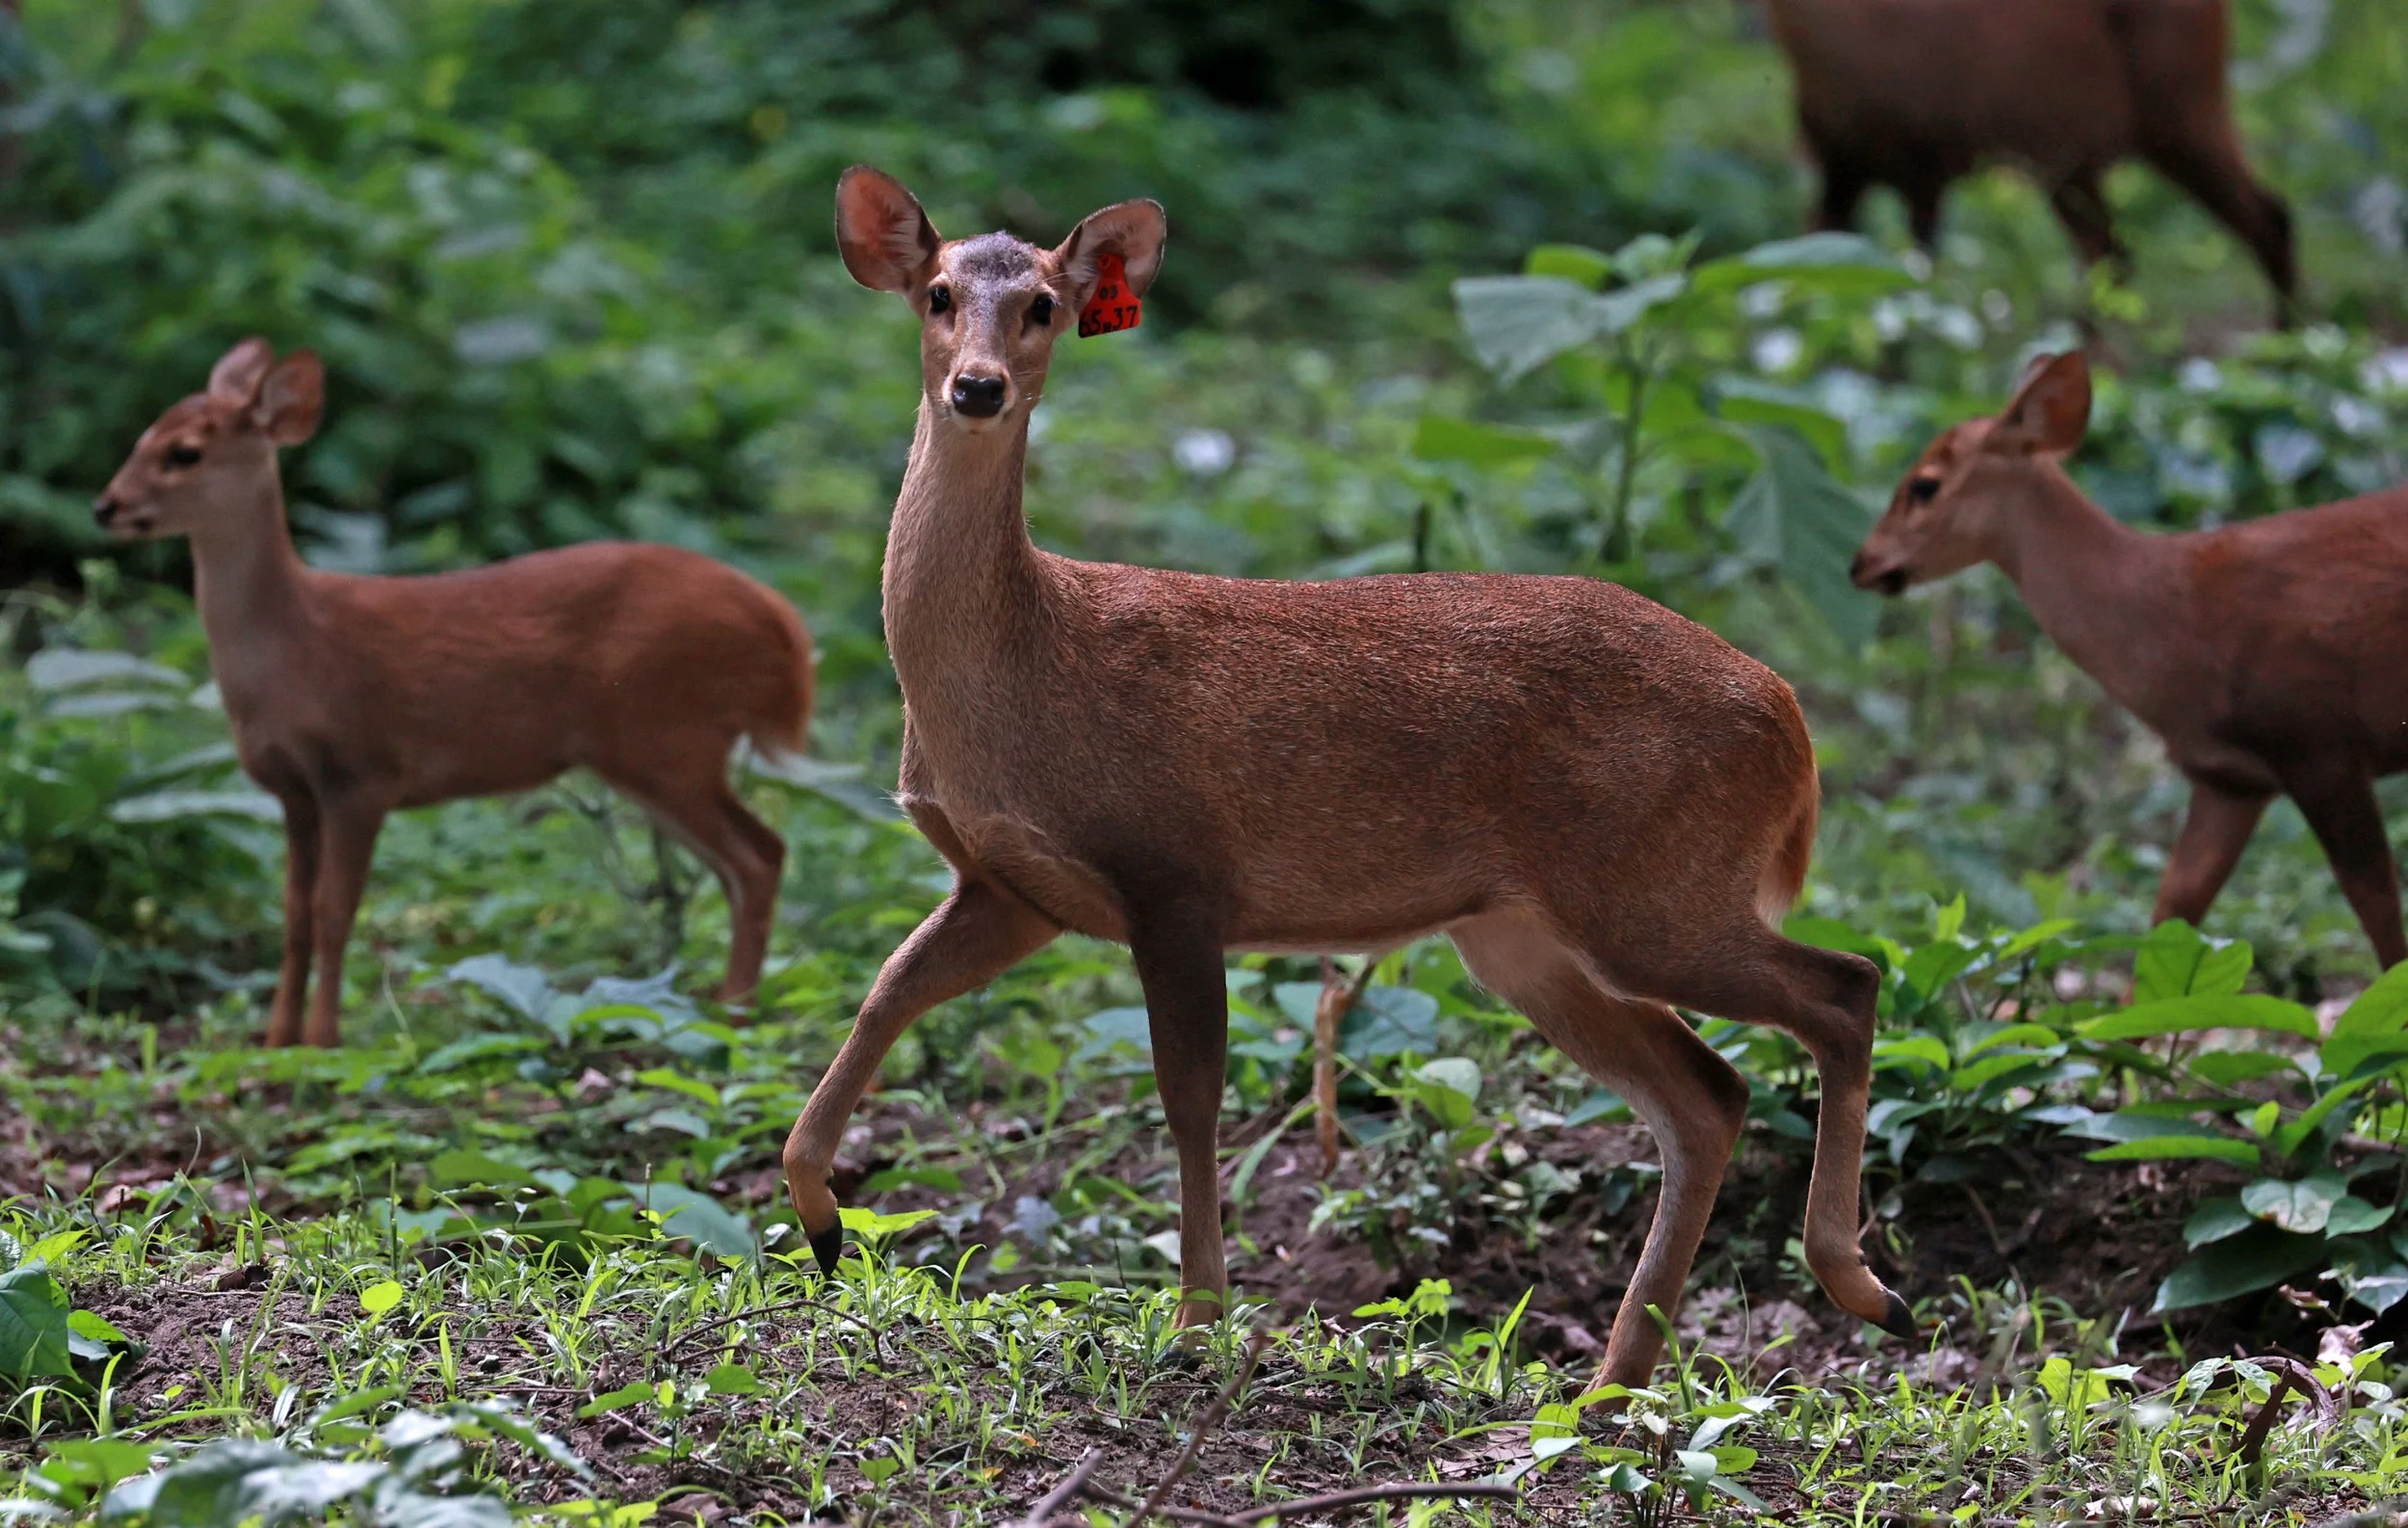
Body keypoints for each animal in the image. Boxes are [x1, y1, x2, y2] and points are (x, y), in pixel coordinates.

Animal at [92, 340, 813, 1048]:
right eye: (144, 433)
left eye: (185, 452)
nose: (107, 506)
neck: (297, 651)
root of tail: (782, 627)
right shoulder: (294, 790)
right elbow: (293, 917)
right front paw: (276, 1044)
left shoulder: (363, 773)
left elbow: (334, 913)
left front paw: (323, 1044)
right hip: (658, 752)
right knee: (741, 864)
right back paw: (721, 1007)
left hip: (667, 737)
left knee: (760, 856)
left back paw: (736, 1016)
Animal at [778, 166, 1919, 1389]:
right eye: (938, 293)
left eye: (1042, 303)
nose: (979, 386)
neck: (1020, 672)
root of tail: (1790, 720)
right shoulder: (1014, 886)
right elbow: (888, 988)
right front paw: (819, 1218)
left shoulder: (1172, 872)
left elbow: (1190, 1098)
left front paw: (1200, 1320)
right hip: (1525, 934)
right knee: (1708, 1092)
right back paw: (1609, 1387)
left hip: (1653, 886)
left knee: (1844, 986)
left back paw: (1862, 1285)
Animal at [1763, 0, 2297, 322]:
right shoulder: (1839, 165)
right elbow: (1810, 269)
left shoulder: (1927, 163)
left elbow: (1912, 294)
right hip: (2091, 149)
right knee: (2114, 253)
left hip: (2165, 107)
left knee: (2267, 217)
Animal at [1852, 350, 2408, 970]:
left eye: (1925, 485)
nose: (1861, 563)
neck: (2180, 617)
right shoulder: (2229, 778)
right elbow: (2172, 909)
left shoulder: (2321, 746)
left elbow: (2379, 908)